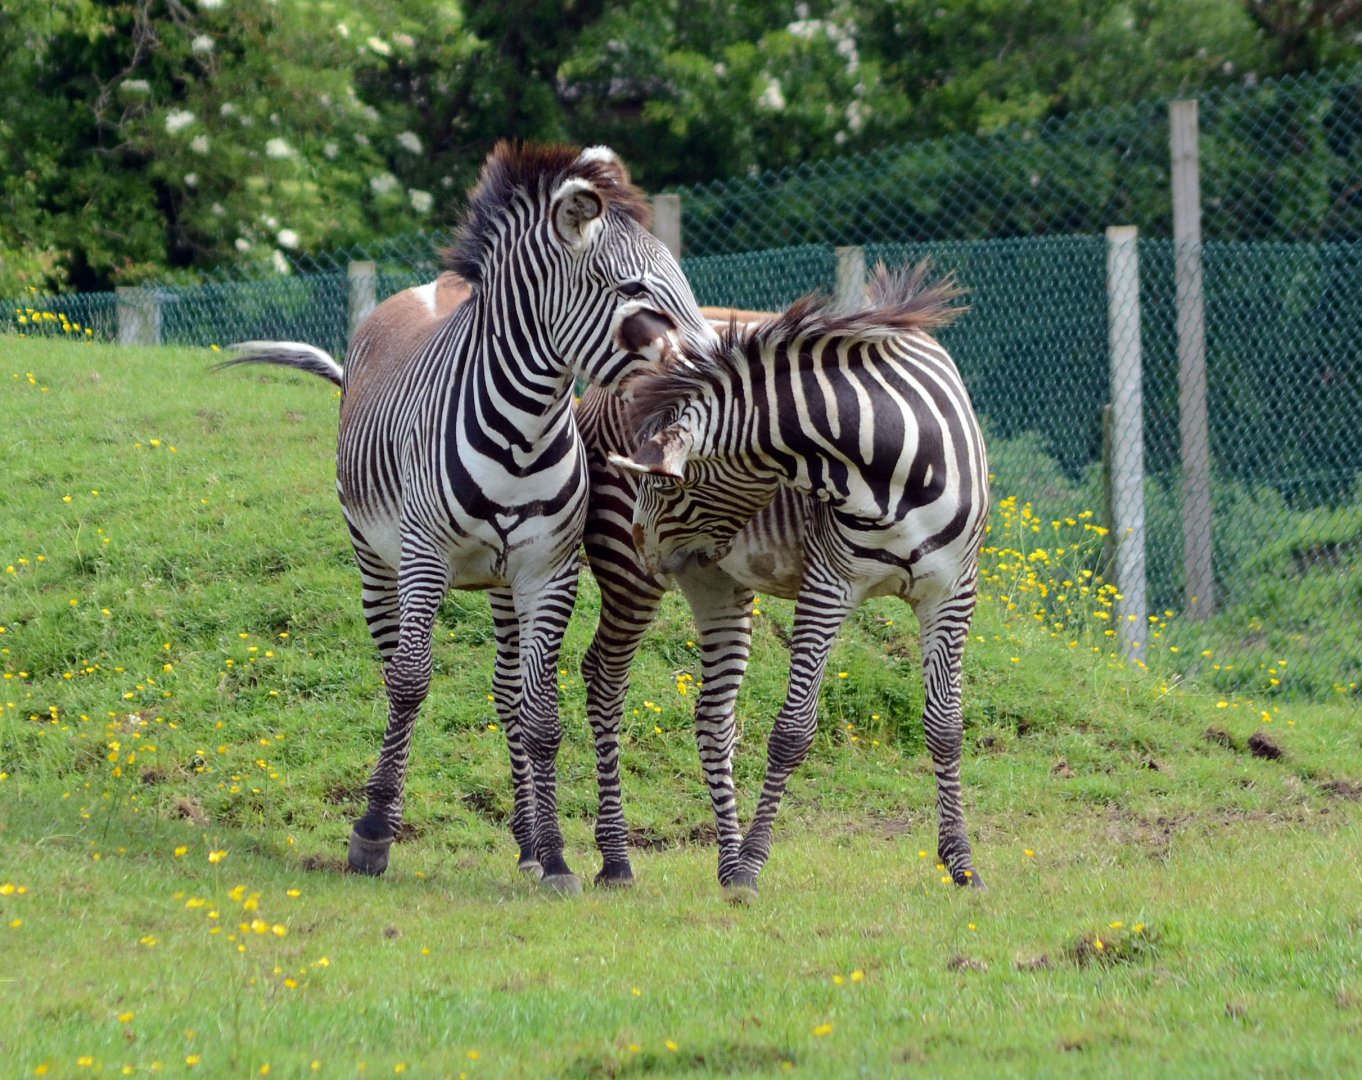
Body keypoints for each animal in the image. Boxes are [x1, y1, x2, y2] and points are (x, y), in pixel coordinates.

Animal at [220, 142, 717, 893]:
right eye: (634, 290)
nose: (721, 368)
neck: (524, 433)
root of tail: (427, 290)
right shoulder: (425, 560)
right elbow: (411, 683)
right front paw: (373, 834)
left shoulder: (549, 573)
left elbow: (539, 715)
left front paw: (556, 856)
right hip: (377, 561)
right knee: (393, 666)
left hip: (503, 583)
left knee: (507, 691)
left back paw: (526, 843)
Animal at [608, 263, 989, 898]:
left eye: (666, 485)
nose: (642, 545)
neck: (890, 472)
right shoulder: (827, 587)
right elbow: (792, 730)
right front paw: (753, 868)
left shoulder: (951, 593)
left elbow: (945, 726)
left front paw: (961, 863)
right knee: (599, 685)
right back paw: (611, 861)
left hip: (711, 580)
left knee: (713, 718)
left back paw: (723, 861)